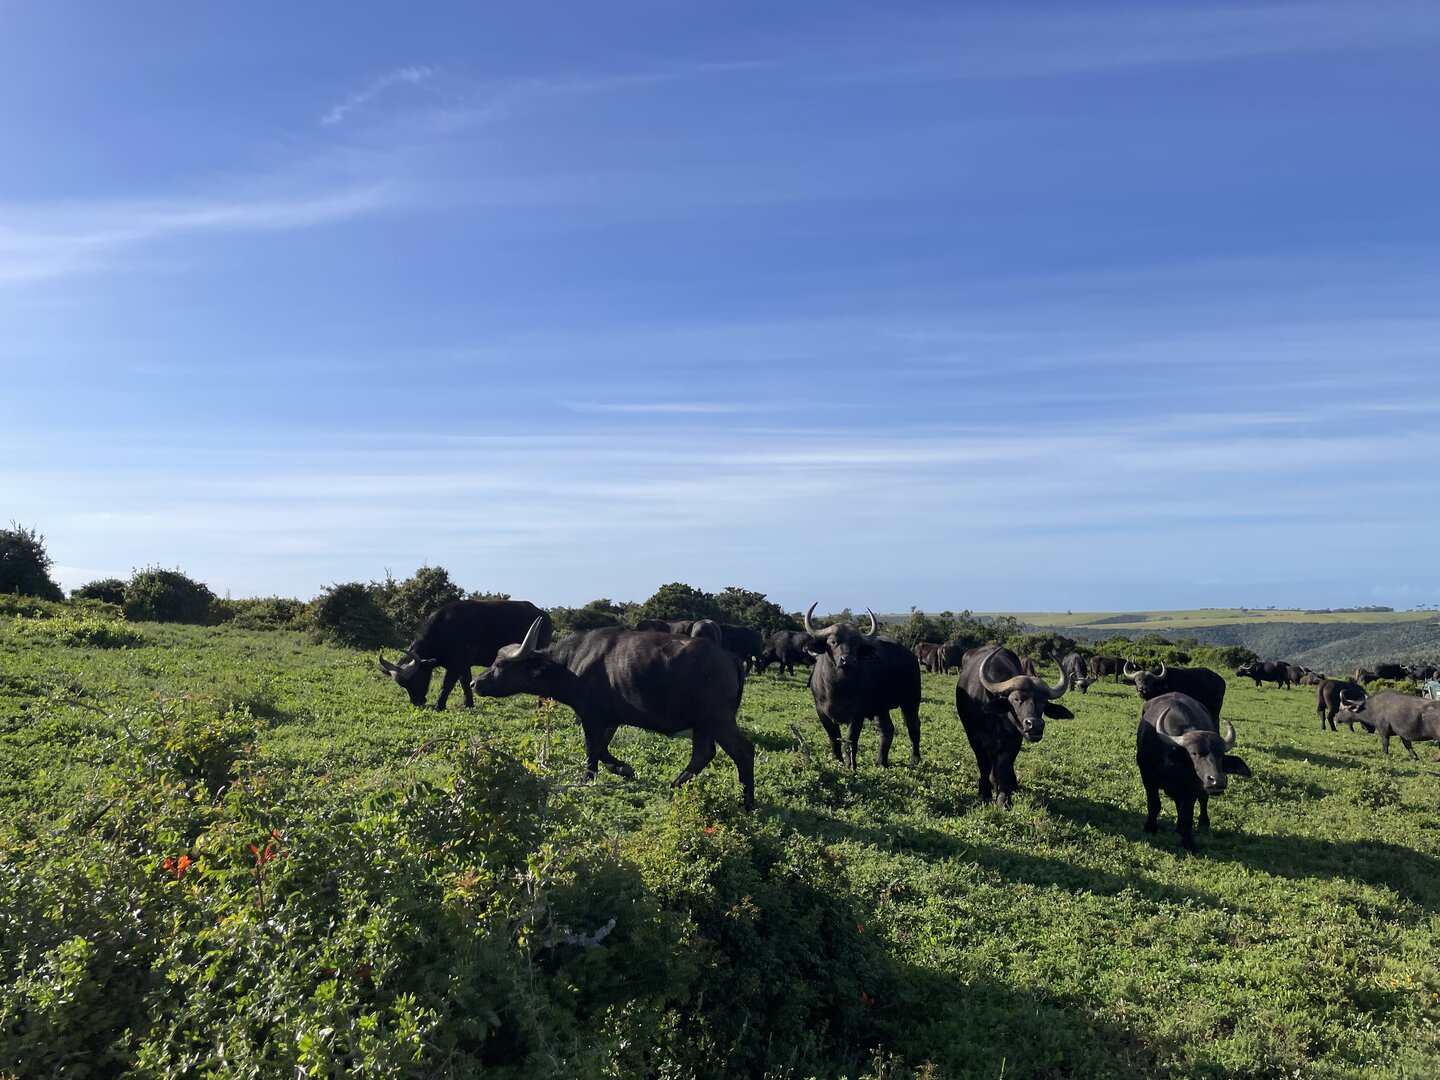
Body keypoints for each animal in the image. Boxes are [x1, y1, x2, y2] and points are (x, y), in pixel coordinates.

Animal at [379, 599, 553, 710]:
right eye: (404, 685)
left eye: (418, 677)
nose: (417, 702)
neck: (443, 630)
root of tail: (544, 615)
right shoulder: (464, 666)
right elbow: (466, 683)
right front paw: (468, 704)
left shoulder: (456, 665)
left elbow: (447, 685)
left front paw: (439, 706)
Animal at [470, 620, 755, 807]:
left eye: (501, 664)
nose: (475, 683)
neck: (570, 664)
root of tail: (730, 658)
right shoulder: (611, 720)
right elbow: (602, 748)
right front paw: (623, 768)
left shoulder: (591, 717)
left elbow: (591, 749)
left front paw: (588, 777)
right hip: (702, 724)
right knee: (703, 753)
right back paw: (675, 784)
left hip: (718, 720)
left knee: (743, 750)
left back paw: (747, 802)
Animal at [803, 604, 922, 769]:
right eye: (833, 642)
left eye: (856, 644)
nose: (847, 660)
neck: (837, 689)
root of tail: (910, 656)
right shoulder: (822, 713)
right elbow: (834, 740)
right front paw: (838, 762)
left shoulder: (857, 715)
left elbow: (850, 741)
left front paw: (850, 766)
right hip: (881, 707)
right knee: (887, 729)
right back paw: (881, 762)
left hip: (911, 701)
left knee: (913, 727)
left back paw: (915, 759)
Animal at [955, 645, 1071, 808]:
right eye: (1016, 699)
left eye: (1043, 701)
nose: (1035, 725)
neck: (997, 718)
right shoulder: (975, 738)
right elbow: (983, 763)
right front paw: (984, 793)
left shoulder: (1014, 740)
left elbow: (1004, 766)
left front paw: (1004, 800)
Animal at [1136, 692, 1250, 853]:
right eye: (1194, 753)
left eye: (1221, 755)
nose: (1218, 780)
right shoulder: (1148, 777)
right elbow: (1154, 805)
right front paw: (1150, 828)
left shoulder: (1191, 788)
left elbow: (1187, 816)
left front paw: (1188, 843)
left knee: (1203, 800)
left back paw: (1201, 823)